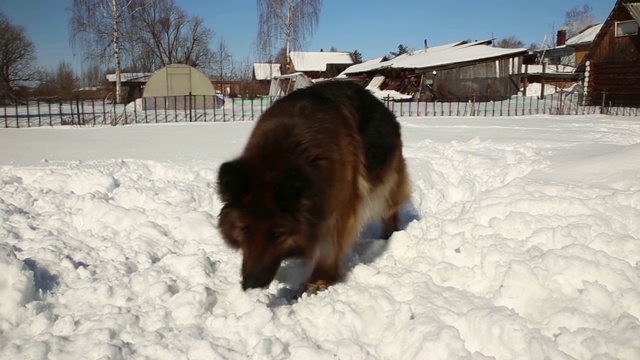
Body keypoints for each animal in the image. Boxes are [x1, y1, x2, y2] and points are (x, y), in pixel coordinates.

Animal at [218, 80, 410, 294]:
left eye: (277, 235)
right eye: (244, 229)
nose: (251, 285)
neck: (289, 152)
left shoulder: (338, 208)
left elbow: (329, 248)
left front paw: (318, 280)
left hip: (386, 183)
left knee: (389, 207)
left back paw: (389, 234)